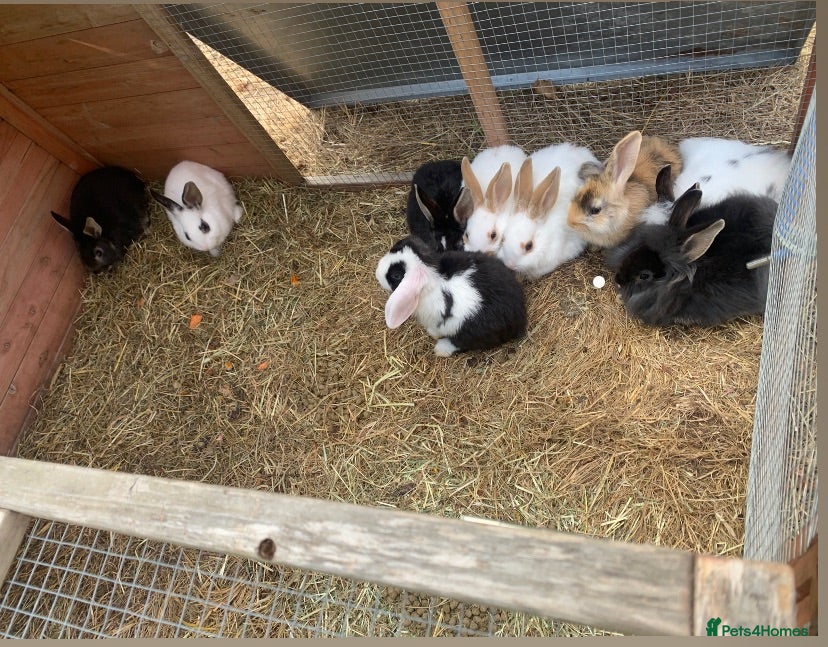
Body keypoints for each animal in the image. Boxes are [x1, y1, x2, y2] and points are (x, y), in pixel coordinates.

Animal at [375, 236, 527, 356]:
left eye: (396, 275)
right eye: (395, 247)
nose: (377, 273)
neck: (433, 278)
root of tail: (519, 319)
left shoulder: (438, 320)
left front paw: (432, 334)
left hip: (470, 330)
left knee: (462, 343)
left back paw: (441, 349)